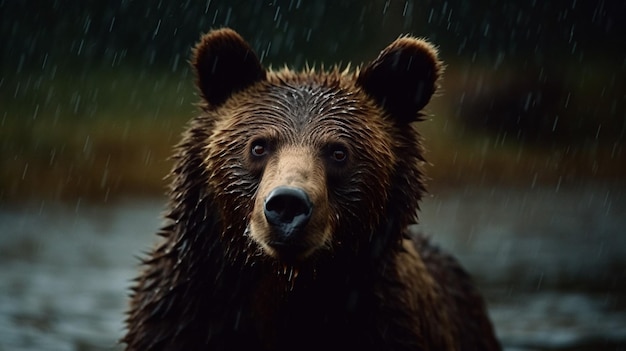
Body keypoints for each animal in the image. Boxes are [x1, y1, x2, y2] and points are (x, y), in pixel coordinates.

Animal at [124, 28, 500, 351]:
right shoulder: (181, 316)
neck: (286, 287)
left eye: (339, 152)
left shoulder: (383, 321)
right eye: (258, 146)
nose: (287, 204)